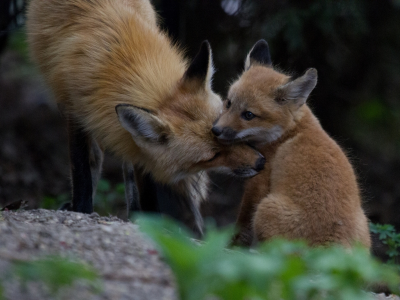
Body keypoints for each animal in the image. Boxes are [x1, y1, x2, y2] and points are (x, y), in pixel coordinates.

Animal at [25, 0, 266, 230]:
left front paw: (152, 221)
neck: (119, 52)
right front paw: (82, 210)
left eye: (226, 130)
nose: (261, 163)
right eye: (212, 156)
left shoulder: (139, 145)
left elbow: (145, 180)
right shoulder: (75, 110)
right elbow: (82, 170)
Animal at [212, 40, 372, 248]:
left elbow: (241, 227)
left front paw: (230, 247)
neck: (288, 132)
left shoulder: (258, 183)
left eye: (248, 115)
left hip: (265, 209)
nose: (215, 130)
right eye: (229, 103)